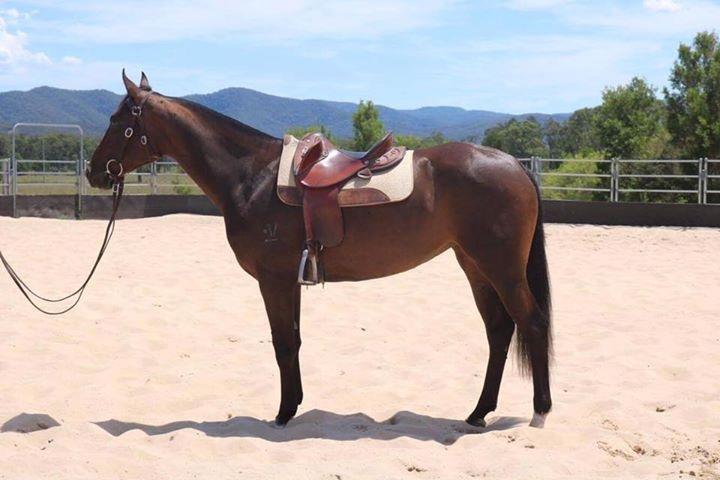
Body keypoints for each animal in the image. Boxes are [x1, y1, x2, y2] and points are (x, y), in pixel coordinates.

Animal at [86, 71, 553, 428]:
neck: (252, 177)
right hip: (475, 265)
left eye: (117, 119)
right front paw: (293, 406)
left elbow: (282, 343)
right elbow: (292, 341)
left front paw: (281, 414)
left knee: (530, 322)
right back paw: (478, 413)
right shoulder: (289, 280)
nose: (93, 172)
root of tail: (514, 165)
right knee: (499, 330)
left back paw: (539, 412)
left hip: (501, 268)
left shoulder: (273, 280)